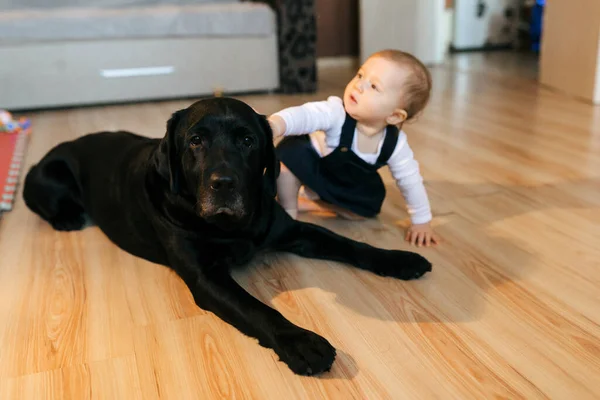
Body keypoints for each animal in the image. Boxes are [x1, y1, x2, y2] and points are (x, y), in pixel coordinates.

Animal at [22, 97, 432, 376]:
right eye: (195, 141)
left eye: (248, 141)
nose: (224, 184)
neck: (232, 227)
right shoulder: (207, 279)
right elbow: (258, 309)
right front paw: (301, 342)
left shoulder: (294, 230)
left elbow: (348, 244)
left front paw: (399, 259)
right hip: (49, 177)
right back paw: (69, 218)